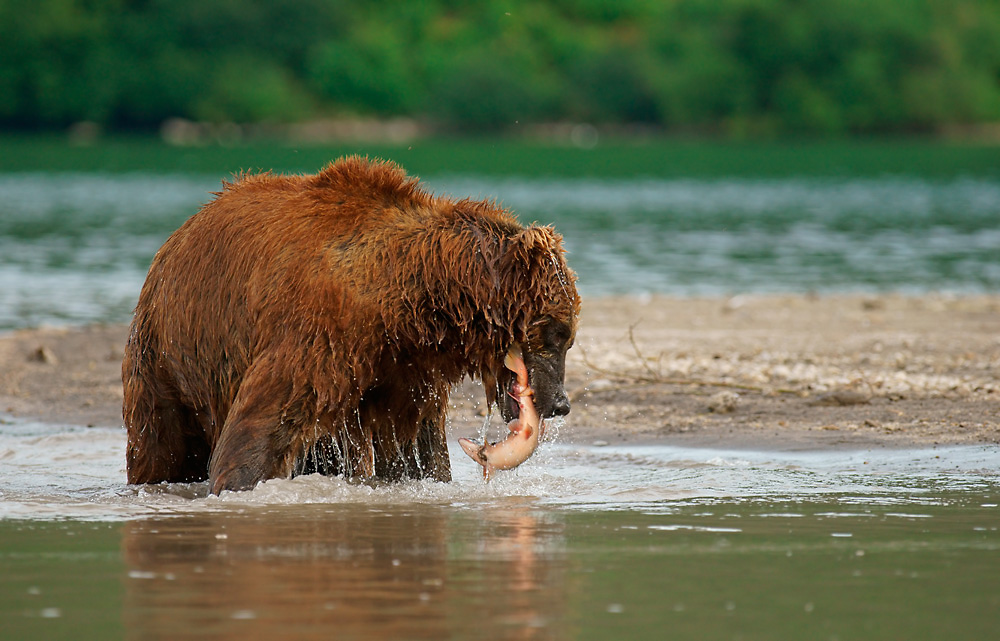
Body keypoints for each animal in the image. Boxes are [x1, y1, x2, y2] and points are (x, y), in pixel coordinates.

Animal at [123, 156, 580, 496]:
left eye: (568, 338)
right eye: (556, 333)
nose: (560, 403)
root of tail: (175, 240)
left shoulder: (404, 368)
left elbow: (414, 448)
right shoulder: (319, 332)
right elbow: (264, 422)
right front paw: (237, 482)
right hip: (165, 357)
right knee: (161, 443)